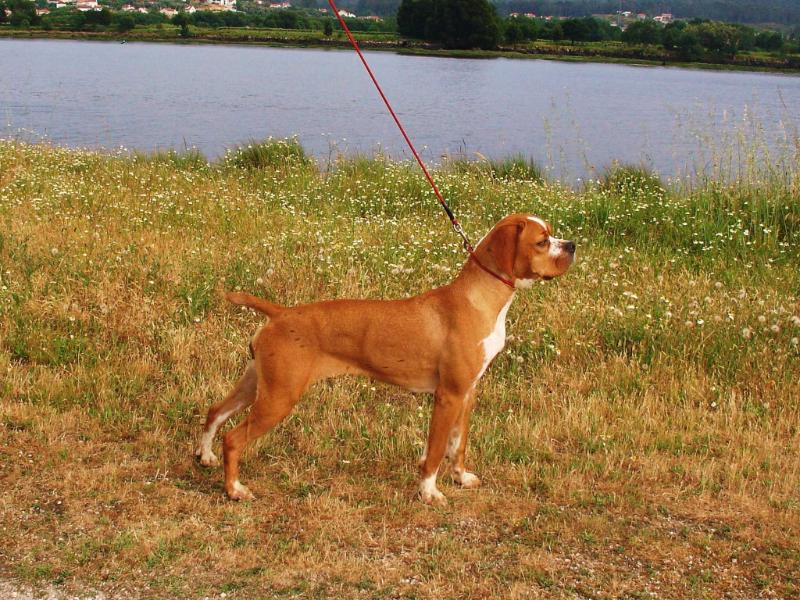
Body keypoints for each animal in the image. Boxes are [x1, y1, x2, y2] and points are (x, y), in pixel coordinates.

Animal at [195, 213, 572, 504]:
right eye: (542, 241)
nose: (571, 245)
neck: (478, 300)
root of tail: (279, 314)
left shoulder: (468, 392)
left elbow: (458, 444)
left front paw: (461, 478)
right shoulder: (448, 395)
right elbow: (436, 451)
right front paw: (429, 493)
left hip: (258, 385)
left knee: (215, 412)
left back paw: (205, 455)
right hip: (279, 397)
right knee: (233, 439)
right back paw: (235, 489)